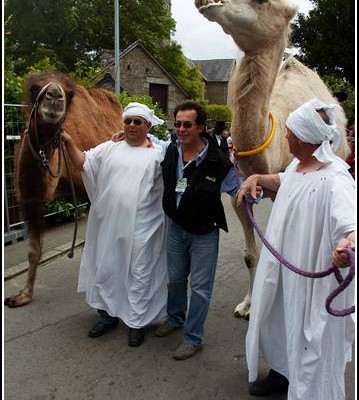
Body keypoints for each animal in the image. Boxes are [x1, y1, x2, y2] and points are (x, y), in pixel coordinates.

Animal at [3, 70, 125, 308]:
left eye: (69, 94)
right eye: (33, 88)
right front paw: (23, 295)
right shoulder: (31, 199)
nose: (54, 96)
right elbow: (33, 250)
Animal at [195, 0, 350, 318]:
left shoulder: (285, 191)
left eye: (261, 2)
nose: (206, 3)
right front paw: (247, 305)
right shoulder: (238, 194)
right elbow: (249, 254)